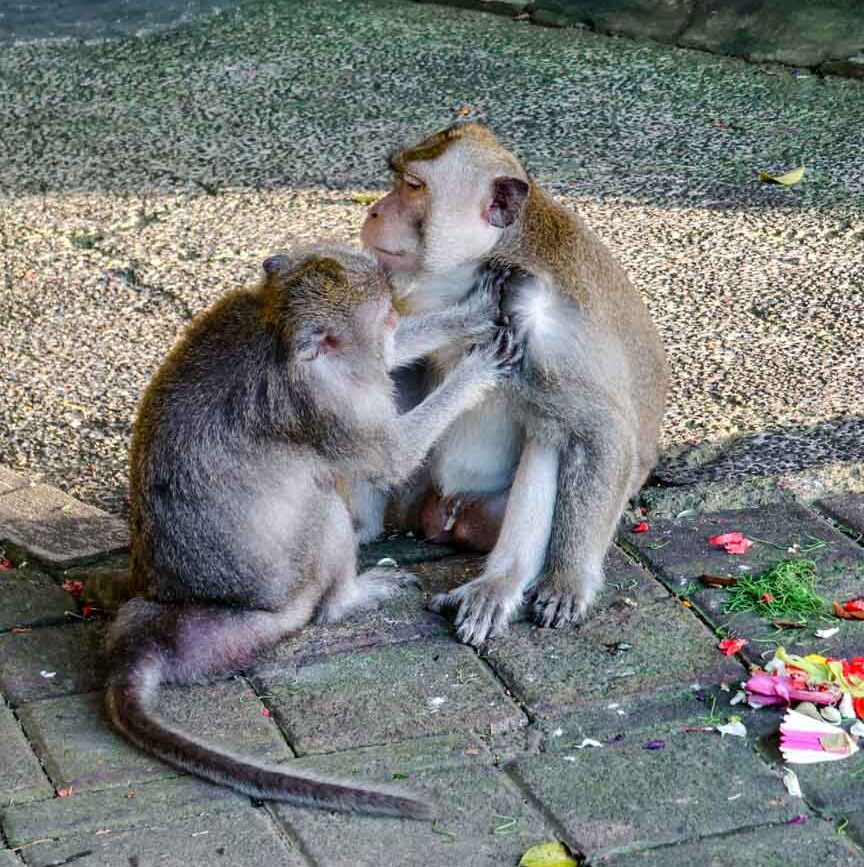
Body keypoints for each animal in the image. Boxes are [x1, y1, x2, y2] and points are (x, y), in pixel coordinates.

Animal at [106, 245, 519, 819]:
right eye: (383, 313)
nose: (394, 313)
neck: (276, 327)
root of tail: (158, 618)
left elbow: (388, 359)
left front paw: (475, 310)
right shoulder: (329, 408)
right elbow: (392, 459)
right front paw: (476, 369)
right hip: (290, 594)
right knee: (323, 506)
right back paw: (348, 597)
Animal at [360, 122, 668, 647]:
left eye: (414, 186)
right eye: (396, 178)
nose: (375, 210)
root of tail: (444, 517)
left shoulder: (551, 333)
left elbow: (602, 434)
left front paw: (567, 581)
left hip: (487, 512)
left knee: (550, 431)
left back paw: (500, 582)